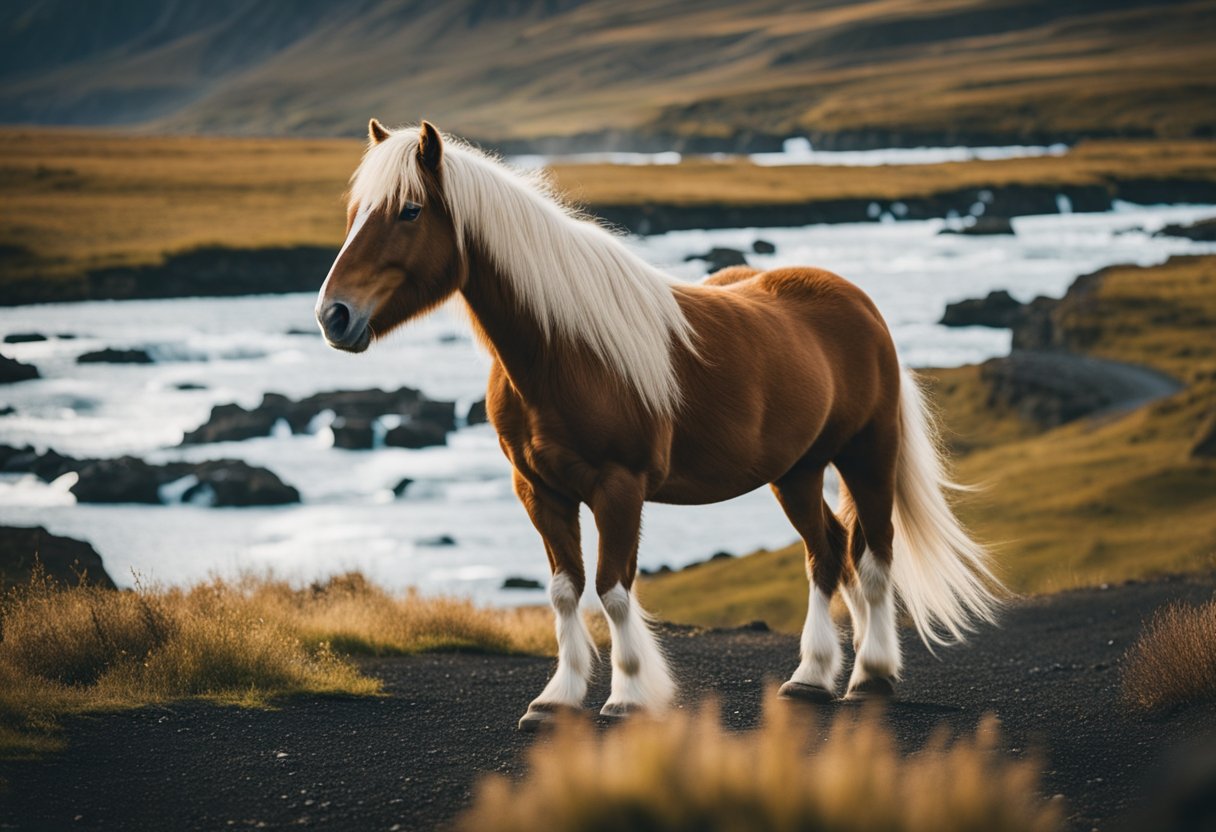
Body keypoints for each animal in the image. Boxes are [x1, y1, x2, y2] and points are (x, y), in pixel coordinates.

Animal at [313, 116, 997, 729]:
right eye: (355, 211)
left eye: (408, 211)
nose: (333, 315)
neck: (566, 351)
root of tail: (856, 300)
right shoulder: (540, 491)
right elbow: (565, 591)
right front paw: (556, 699)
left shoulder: (620, 487)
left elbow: (613, 590)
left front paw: (630, 695)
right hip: (796, 472)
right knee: (826, 554)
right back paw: (811, 677)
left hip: (867, 456)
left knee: (875, 557)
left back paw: (870, 676)